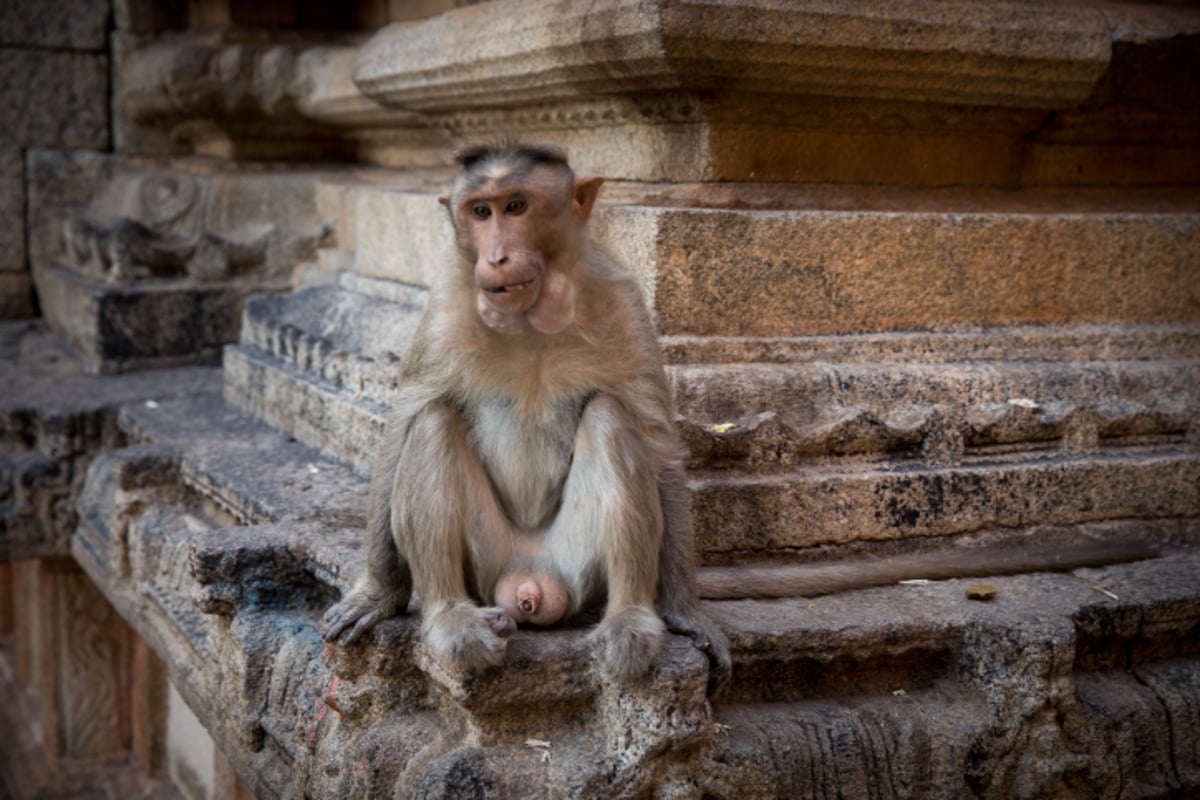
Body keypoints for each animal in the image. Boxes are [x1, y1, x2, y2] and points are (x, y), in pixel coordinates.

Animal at [321, 142, 729, 690]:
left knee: (609, 417)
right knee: (432, 422)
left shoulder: (624, 302)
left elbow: (656, 437)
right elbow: (405, 422)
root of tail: (529, 581)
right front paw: (379, 591)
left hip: (575, 565)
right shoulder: (444, 310)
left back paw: (629, 620)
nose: (497, 256)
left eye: (516, 207)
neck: (532, 316)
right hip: (487, 561)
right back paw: (453, 619)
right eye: (480, 212)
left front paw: (686, 611)